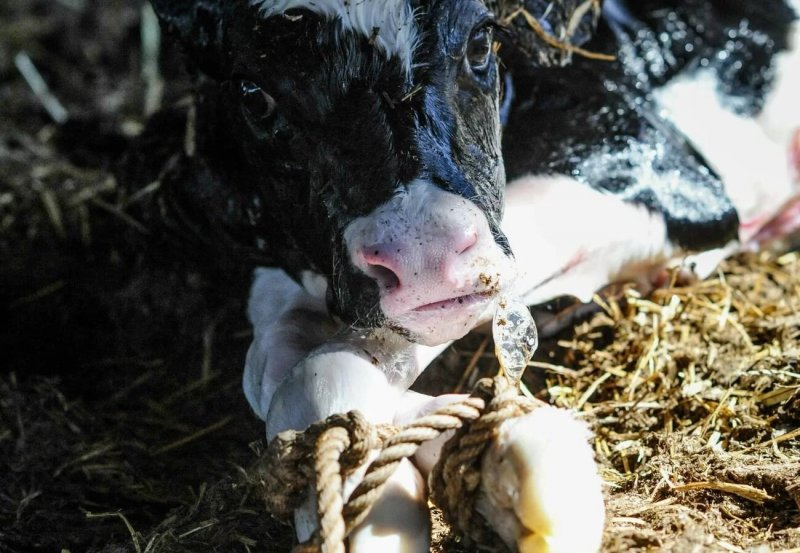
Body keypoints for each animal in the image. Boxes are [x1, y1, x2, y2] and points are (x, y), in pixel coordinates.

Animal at [145, 0, 800, 551]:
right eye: (254, 95)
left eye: (481, 42)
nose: (422, 256)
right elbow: (277, 361)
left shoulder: (656, 168)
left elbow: (337, 361)